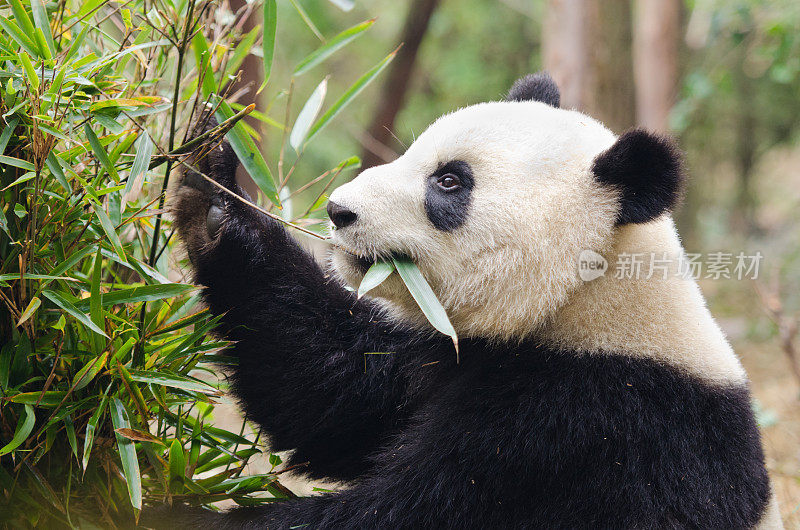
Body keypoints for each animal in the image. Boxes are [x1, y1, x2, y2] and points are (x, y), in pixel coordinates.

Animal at [161, 72, 780, 524]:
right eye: (414, 152)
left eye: (450, 182)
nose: (339, 210)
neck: (585, 300)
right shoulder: (440, 350)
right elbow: (324, 388)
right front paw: (212, 190)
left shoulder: (586, 424)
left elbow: (419, 508)